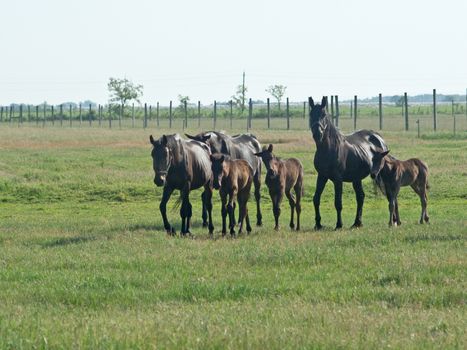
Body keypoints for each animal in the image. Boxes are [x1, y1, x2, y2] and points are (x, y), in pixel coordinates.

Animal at [308, 95, 390, 230]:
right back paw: (357, 223)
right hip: (356, 179)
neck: (328, 149)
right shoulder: (322, 176)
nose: (317, 134)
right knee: (360, 197)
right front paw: (318, 224)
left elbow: (338, 202)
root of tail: (378, 137)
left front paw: (339, 225)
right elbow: (316, 199)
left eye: (324, 114)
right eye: (311, 114)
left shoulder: (338, 179)